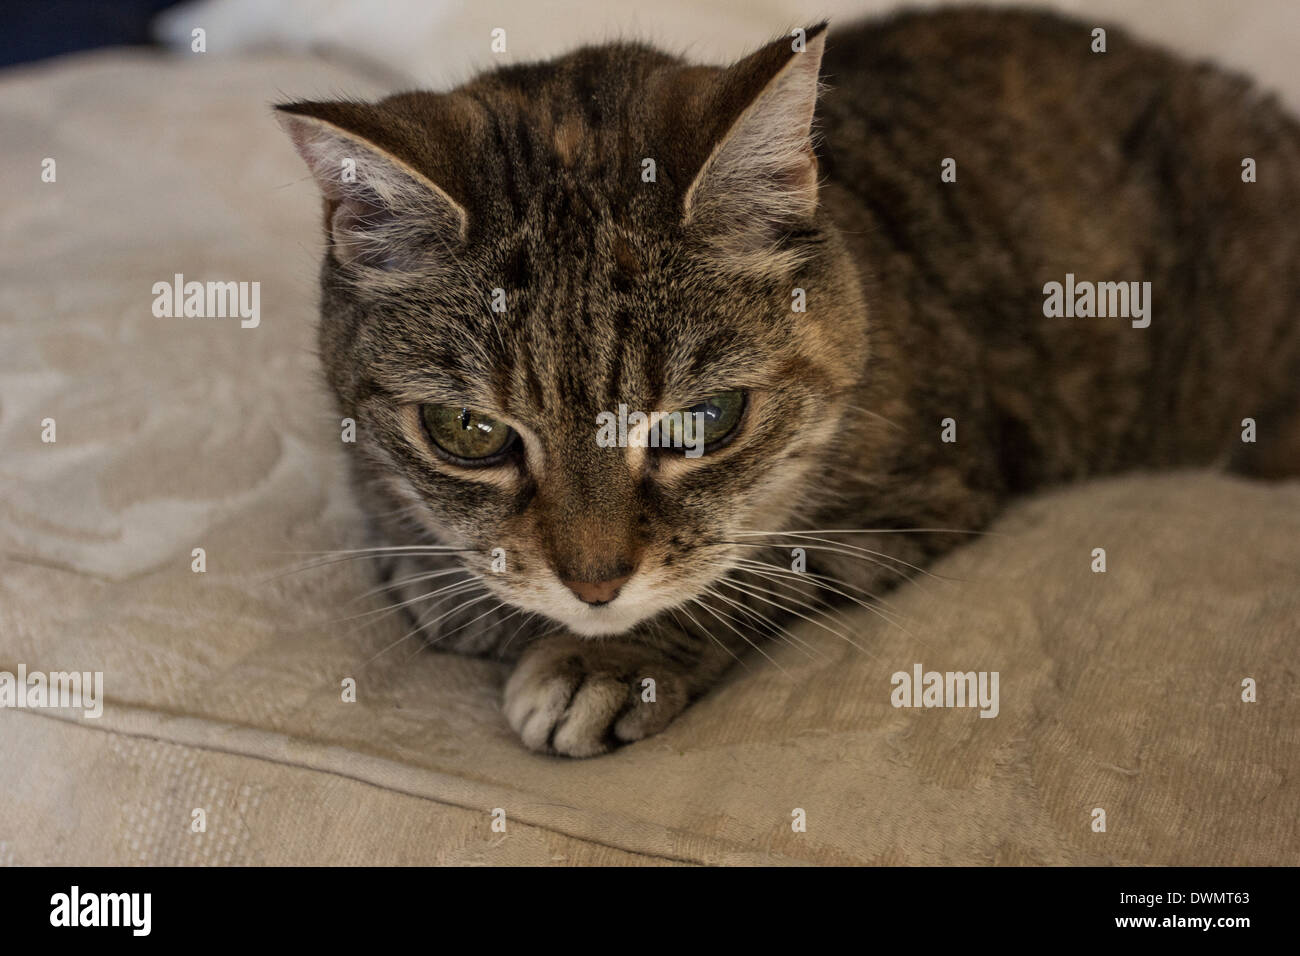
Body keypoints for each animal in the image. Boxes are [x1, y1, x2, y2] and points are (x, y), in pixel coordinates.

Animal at [279, 7, 1300, 754]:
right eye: (471, 433)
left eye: (705, 422)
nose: (595, 586)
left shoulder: (920, 495)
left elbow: (754, 570)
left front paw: (600, 662)